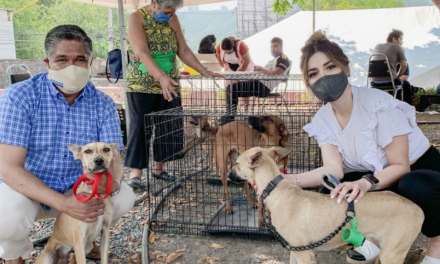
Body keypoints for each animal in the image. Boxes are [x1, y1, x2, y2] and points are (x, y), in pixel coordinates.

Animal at [232, 146, 424, 264]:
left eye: (236, 163)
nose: (227, 173)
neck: (275, 189)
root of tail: (419, 210)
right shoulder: (295, 250)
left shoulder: (305, 254)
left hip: (392, 254)